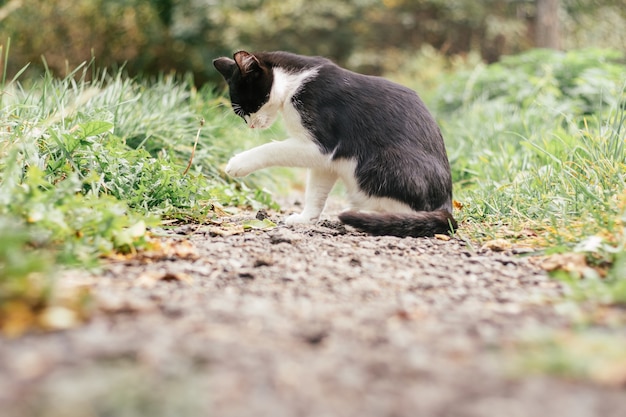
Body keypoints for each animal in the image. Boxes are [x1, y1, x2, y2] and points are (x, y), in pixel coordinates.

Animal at [212, 50, 456, 236]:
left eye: (249, 107)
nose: (251, 125)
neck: (295, 83)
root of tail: (447, 203)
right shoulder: (326, 161)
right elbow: (315, 191)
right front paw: (305, 218)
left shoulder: (322, 145)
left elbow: (273, 148)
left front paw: (238, 163)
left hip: (378, 163)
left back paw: (368, 216)